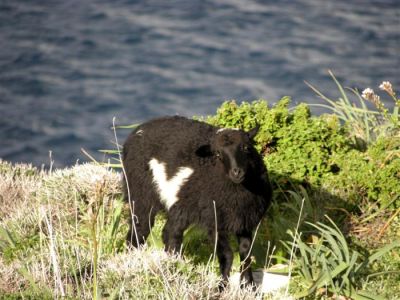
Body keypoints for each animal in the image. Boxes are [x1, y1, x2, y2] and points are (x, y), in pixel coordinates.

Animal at [122, 116, 272, 288]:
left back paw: (171, 265)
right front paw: (222, 287)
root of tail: (139, 129)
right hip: (141, 194)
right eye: (218, 154)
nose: (237, 172)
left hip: (180, 205)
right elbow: (227, 255)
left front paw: (249, 286)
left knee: (170, 233)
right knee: (140, 231)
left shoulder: (243, 220)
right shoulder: (214, 221)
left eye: (246, 147)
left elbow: (246, 252)